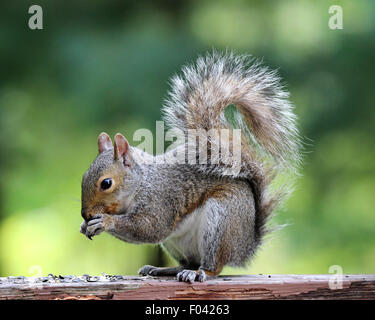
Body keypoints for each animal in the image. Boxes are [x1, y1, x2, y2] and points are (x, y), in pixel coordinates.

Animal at [80, 52, 302, 282]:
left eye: (106, 183)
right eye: (84, 177)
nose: (85, 215)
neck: (141, 183)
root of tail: (245, 247)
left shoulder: (161, 200)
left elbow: (151, 229)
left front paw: (105, 222)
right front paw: (85, 226)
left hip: (221, 222)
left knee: (214, 265)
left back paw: (199, 273)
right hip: (176, 243)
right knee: (188, 262)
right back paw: (163, 269)